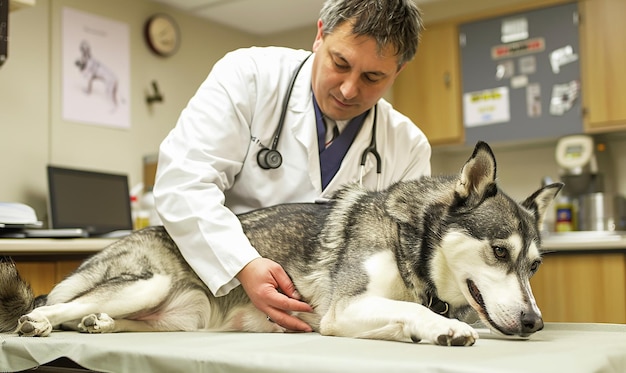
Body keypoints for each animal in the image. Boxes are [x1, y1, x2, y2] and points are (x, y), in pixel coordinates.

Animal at [0, 141, 560, 344]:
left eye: (533, 266)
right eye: (500, 252)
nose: (534, 322)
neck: (409, 239)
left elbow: (417, 313)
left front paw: (438, 326)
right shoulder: (342, 310)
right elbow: (415, 311)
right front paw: (444, 328)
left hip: (179, 315)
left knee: (105, 317)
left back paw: (98, 324)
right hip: (147, 283)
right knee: (54, 306)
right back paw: (40, 322)